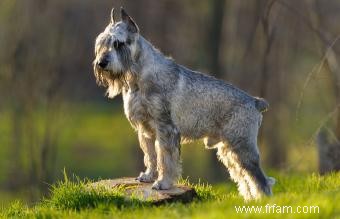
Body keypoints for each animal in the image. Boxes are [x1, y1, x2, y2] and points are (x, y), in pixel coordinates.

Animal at [93, 7, 276, 201]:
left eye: (118, 44)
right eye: (101, 43)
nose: (101, 62)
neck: (138, 78)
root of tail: (255, 102)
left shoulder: (165, 128)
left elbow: (165, 158)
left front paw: (163, 183)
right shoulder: (145, 129)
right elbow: (150, 155)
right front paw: (148, 176)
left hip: (243, 146)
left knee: (262, 180)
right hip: (229, 151)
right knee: (245, 177)